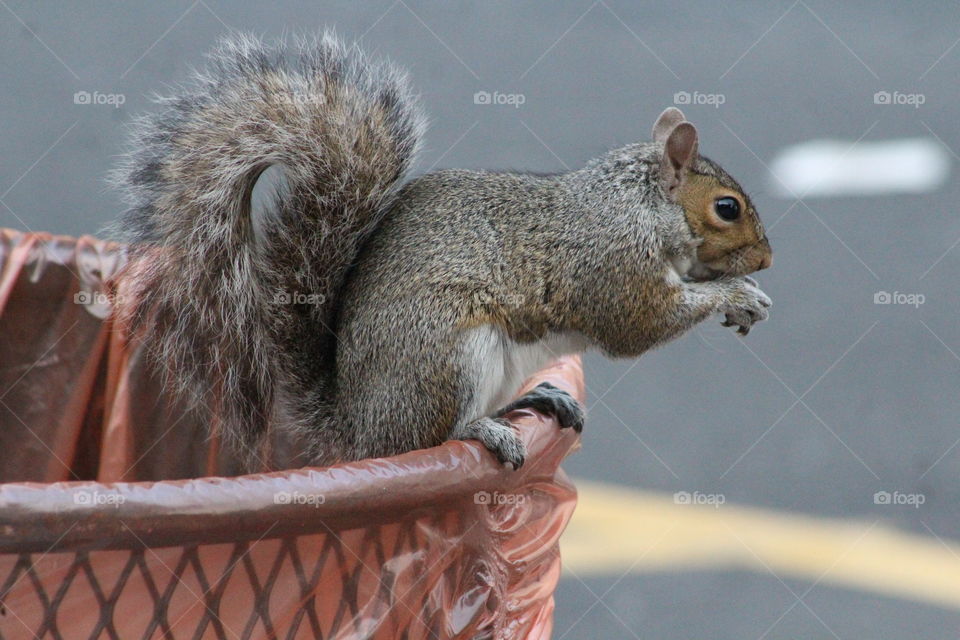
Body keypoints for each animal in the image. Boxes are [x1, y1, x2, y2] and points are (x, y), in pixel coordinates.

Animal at [112, 32, 772, 470]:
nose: (767, 261)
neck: (640, 205)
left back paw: (537, 396)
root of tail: (355, 429)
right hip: (446, 351)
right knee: (430, 437)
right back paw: (486, 430)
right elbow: (639, 324)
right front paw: (735, 293)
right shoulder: (610, 264)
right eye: (727, 208)